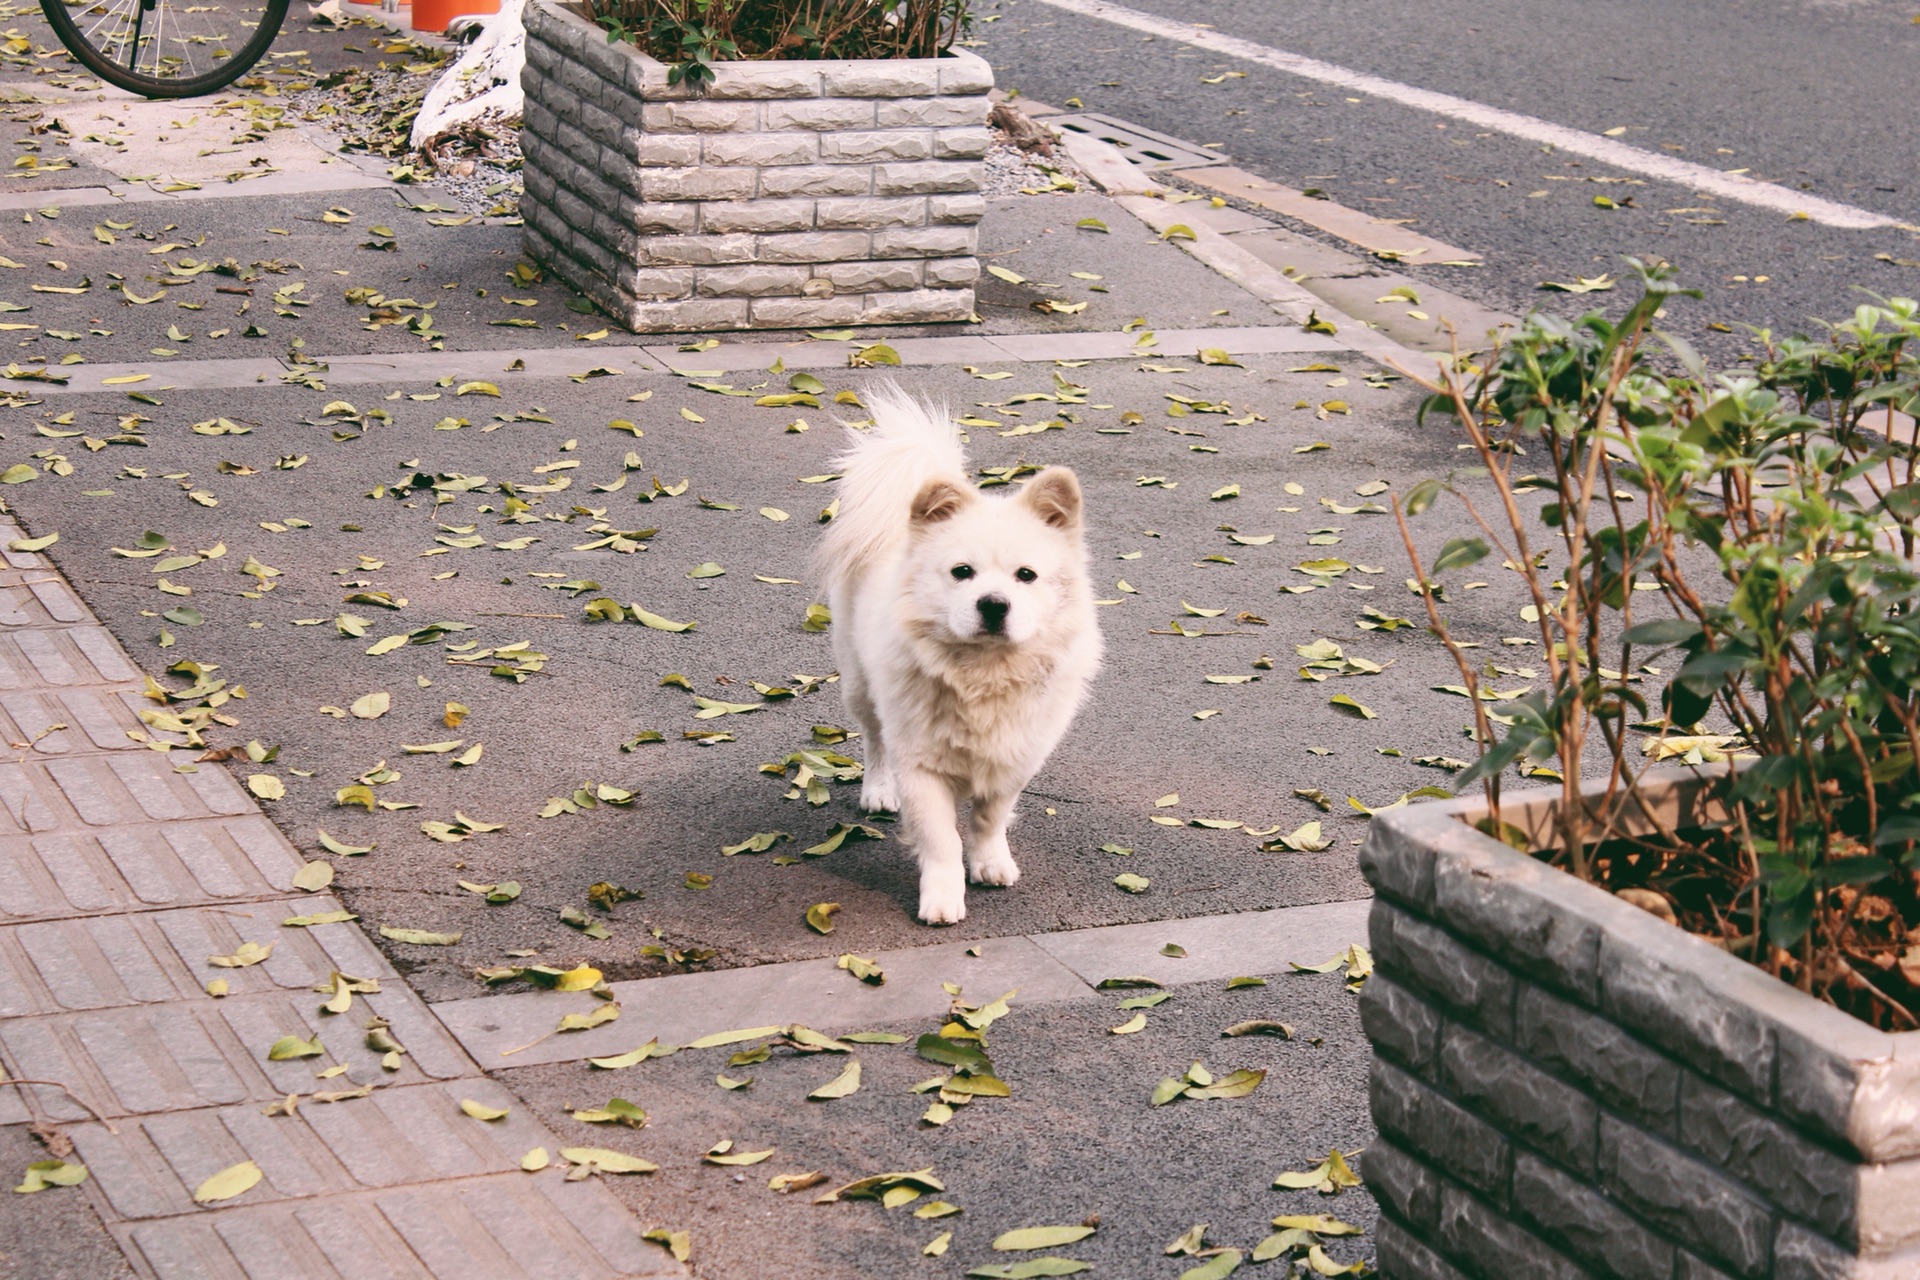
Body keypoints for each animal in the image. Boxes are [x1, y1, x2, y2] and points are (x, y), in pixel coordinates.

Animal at [817, 385, 1105, 924]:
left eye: (1026, 575)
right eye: (962, 572)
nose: (993, 604)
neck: (982, 673)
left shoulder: (1015, 757)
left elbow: (990, 819)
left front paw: (991, 862)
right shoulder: (921, 768)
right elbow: (941, 840)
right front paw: (943, 897)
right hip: (861, 686)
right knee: (874, 739)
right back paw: (877, 790)